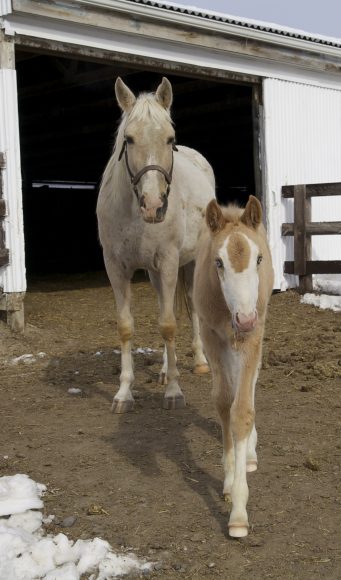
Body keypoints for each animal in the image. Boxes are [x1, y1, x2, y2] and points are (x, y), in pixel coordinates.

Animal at [95, 77, 214, 412]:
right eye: (129, 139)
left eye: (170, 138)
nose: (153, 205)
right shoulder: (116, 268)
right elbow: (127, 326)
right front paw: (124, 393)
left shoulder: (170, 261)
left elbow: (170, 325)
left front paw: (174, 391)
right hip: (154, 272)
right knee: (165, 305)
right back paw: (163, 369)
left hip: (190, 263)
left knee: (190, 308)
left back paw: (200, 362)